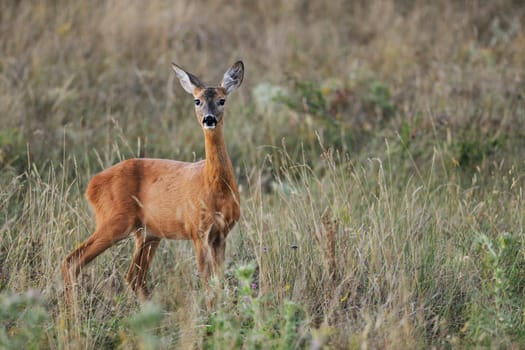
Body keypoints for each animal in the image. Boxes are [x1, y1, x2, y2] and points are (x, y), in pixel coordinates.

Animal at [62, 60, 243, 306]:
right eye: (197, 100)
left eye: (222, 100)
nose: (209, 119)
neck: (215, 187)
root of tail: (92, 185)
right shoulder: (197, 230)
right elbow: (207, 282)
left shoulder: (221, 233)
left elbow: (218, 281)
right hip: (116, 220)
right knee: (73, 261)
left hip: (148, 233)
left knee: (133, 277)